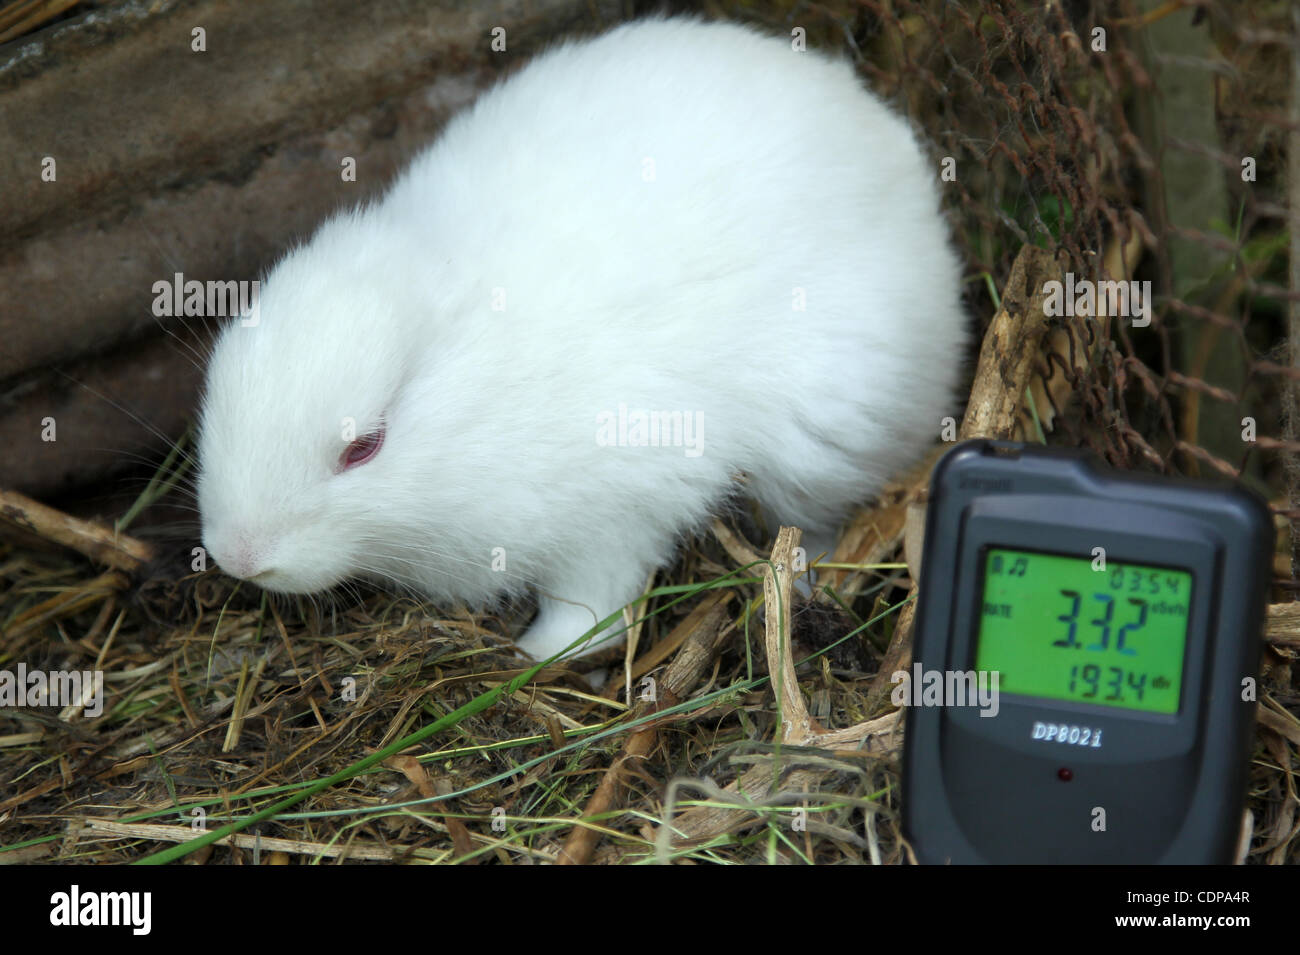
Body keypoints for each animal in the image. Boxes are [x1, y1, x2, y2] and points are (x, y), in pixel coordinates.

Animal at [192, 16, 967, 665]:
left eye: (364, 447)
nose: (237, 557)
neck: (479, 394)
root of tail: (890, 146)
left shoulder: (614, 515)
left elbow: (593, 606)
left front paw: (538, 654)